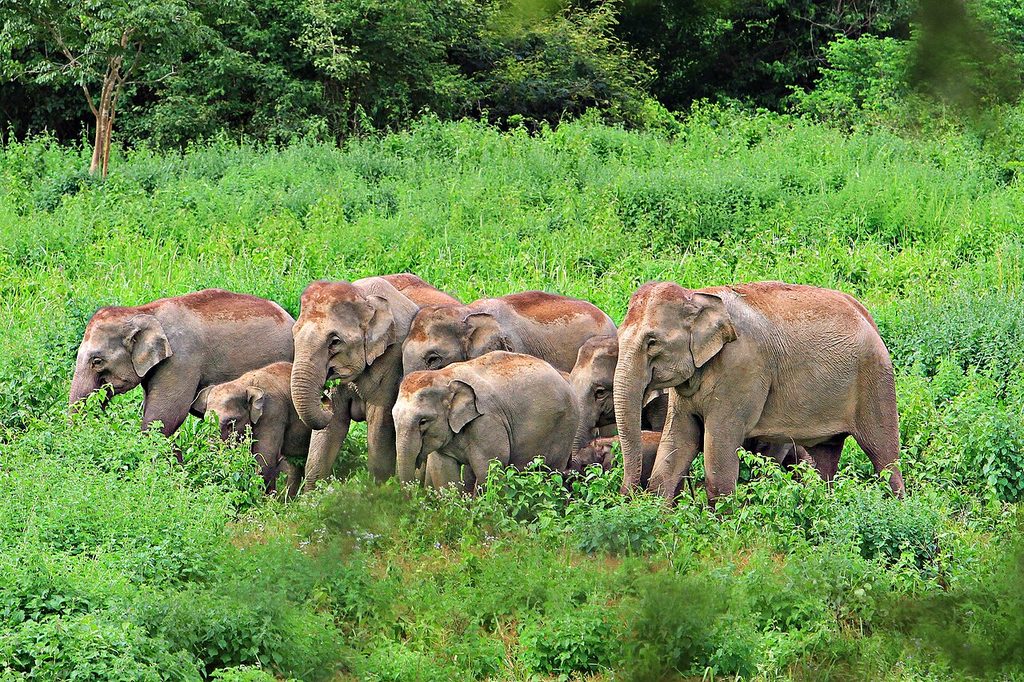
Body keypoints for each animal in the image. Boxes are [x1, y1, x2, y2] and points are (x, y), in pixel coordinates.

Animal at [193, 361, 310, 497]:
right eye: (205, 421)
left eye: (230, 424)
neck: (246, 385)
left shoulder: (273, 413)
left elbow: (265, 459)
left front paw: (263, 500)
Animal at [290, 273, 459, 488]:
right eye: (294, 334)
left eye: (335, 341)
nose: (323, 400)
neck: (364, 297)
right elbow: (331, 428)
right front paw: (312, 494)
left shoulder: (392, 359)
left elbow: (379, 425)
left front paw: (379, 490)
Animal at [393, 351, 579, 492]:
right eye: (393, 418)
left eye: (423, 421)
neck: (445, 376)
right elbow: (445, 474)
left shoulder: (487, 422)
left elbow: (489, 469)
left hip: (565, 427)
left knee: (551, 471)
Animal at [614, 281, 904, 503]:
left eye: (652, 342)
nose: (627, 496)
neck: (696, 295)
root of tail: (867, 315)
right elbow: (678, 441)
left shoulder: (741, 370)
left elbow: (719, 449)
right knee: (825, 456)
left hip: (875, 379)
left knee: (884, 455)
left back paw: (896, 508)